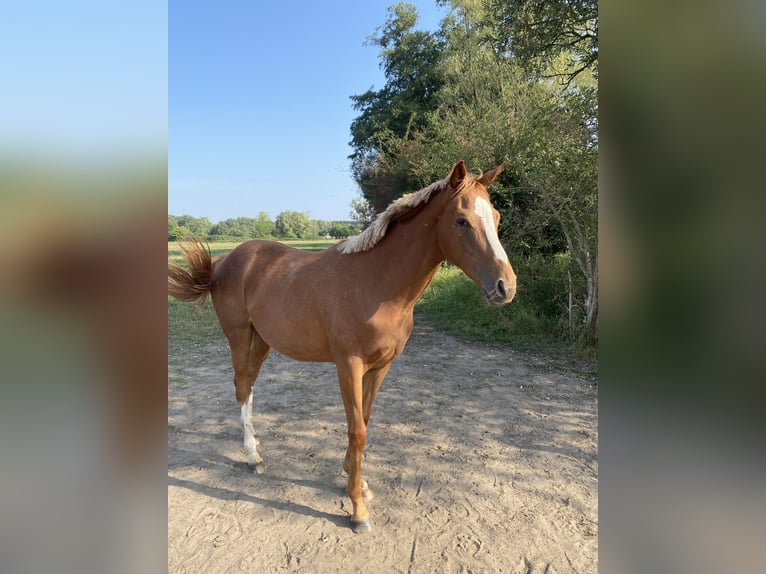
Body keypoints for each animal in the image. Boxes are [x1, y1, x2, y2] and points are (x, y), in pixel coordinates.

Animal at [168, 160, 516, 532]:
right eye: (461, 220)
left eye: (496, 217)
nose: (505, 286)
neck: (376, 282)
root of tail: (226, 261)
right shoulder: (349, 365)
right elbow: (357, 430)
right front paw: (358, 509)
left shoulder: (381, 366)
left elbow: (364, 419)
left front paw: (358, 482)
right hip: (238, 335)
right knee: (242, 386)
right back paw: (253, 457)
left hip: (262, 341)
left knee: (249, 386)